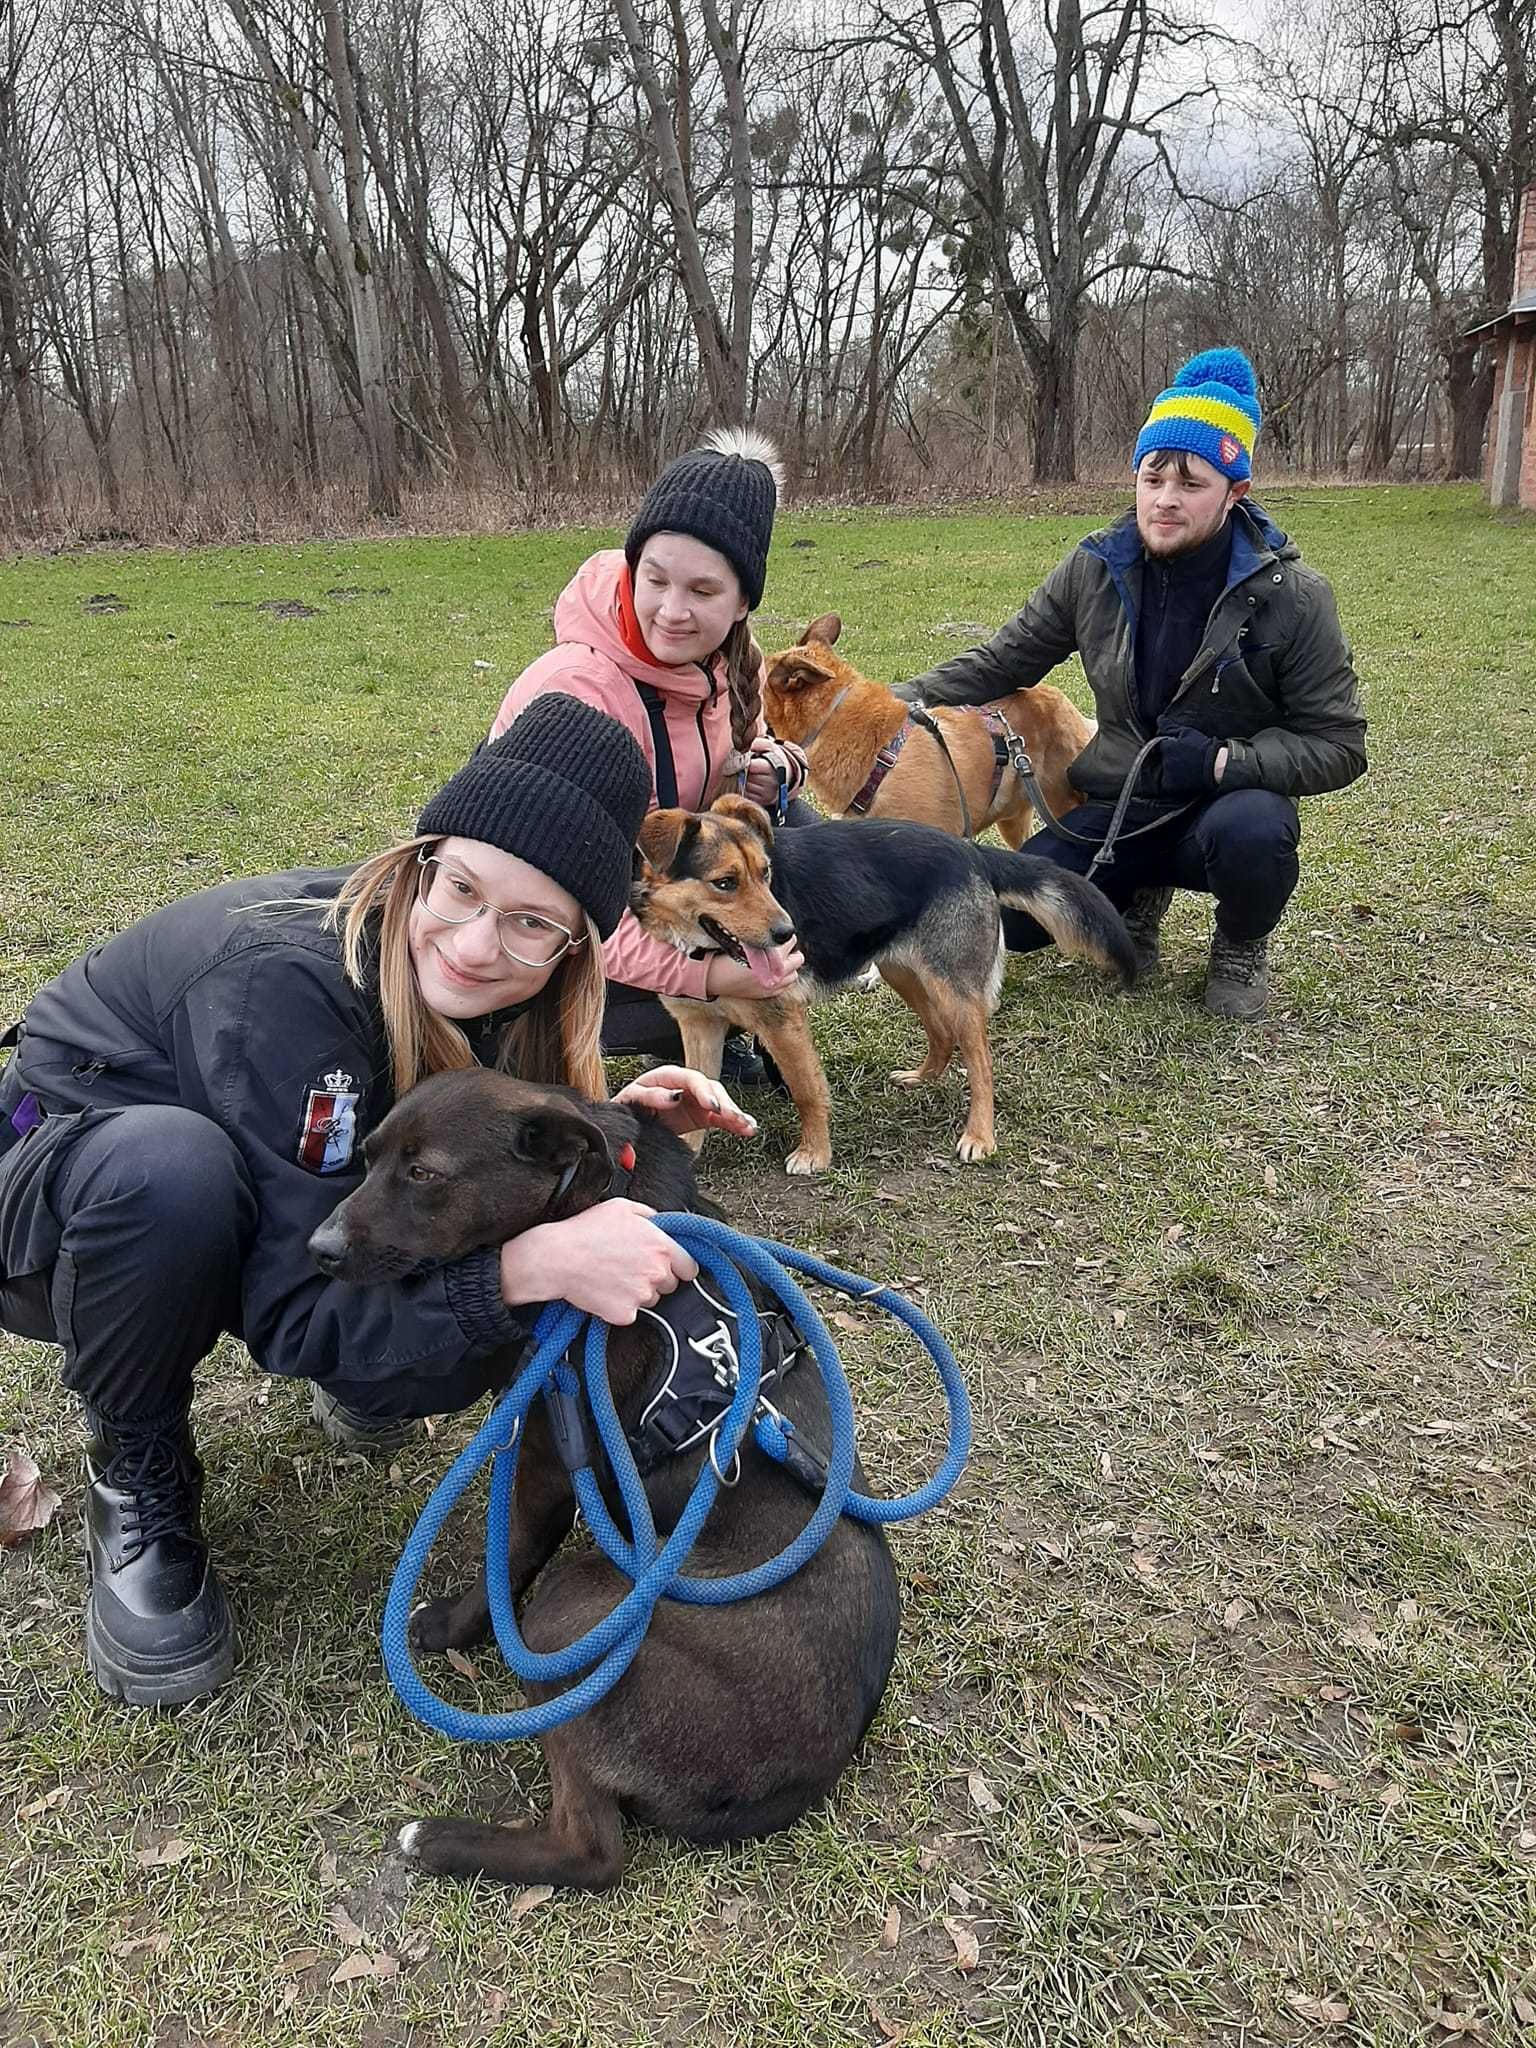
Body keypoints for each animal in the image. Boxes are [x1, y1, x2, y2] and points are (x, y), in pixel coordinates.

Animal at [307, 1073, 901, 1884]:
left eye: (424, 1173)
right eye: (365, 1158)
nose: (319, 1249)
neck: (585, 1201)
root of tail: (802, 1779)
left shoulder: (548, 1457)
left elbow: (510, 1557)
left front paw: (455, 1626)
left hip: (571, 1612)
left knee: (591, 1851)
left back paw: (437, 1840)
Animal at [626, 794, 1146, 1171]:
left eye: (765, 873)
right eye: (725, 883)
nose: (788, 935)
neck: (703, 951)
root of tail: (969, 850)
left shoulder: (782, 1023)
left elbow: (807, 1091)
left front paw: (815, 1153)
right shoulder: (698, 1027)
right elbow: (695, 1088)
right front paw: (687, 1150)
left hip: (953, 988)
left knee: (980, 1063)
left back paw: (979, 1135)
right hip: (906, 973)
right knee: (940, 1033)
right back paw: (922, 1077)